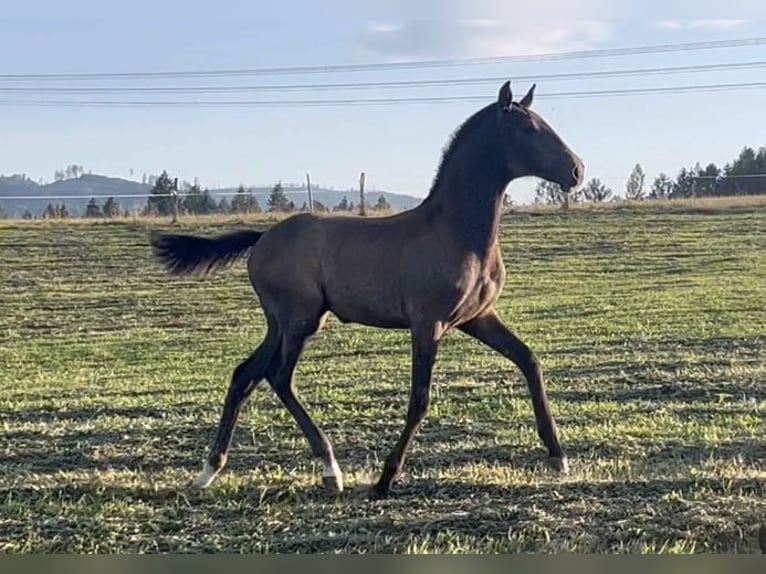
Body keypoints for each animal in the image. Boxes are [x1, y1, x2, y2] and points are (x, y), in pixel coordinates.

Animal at [152, 81, 588, 500]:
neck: (454, 233)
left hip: (281, 323)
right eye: (527, 128)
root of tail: (262, 238)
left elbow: (529, 361)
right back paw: (330, 469)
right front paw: (384, 480)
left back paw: (209, 471)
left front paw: (558, 457)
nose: (577, 171)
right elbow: (419, 399)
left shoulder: (478, 318)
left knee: (246, 374)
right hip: (300, 320)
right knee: (278, 376)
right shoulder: (427, 323)